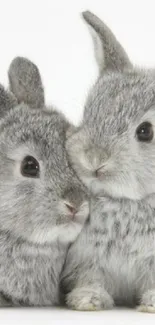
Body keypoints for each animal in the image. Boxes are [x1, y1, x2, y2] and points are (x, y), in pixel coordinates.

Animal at [60, 11, 155, 312]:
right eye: (90, 113)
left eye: (145, 131)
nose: (93, 159)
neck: (128, 201)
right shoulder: (87, 259)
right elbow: (91, 277)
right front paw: (87, 300)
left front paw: (151, 304)